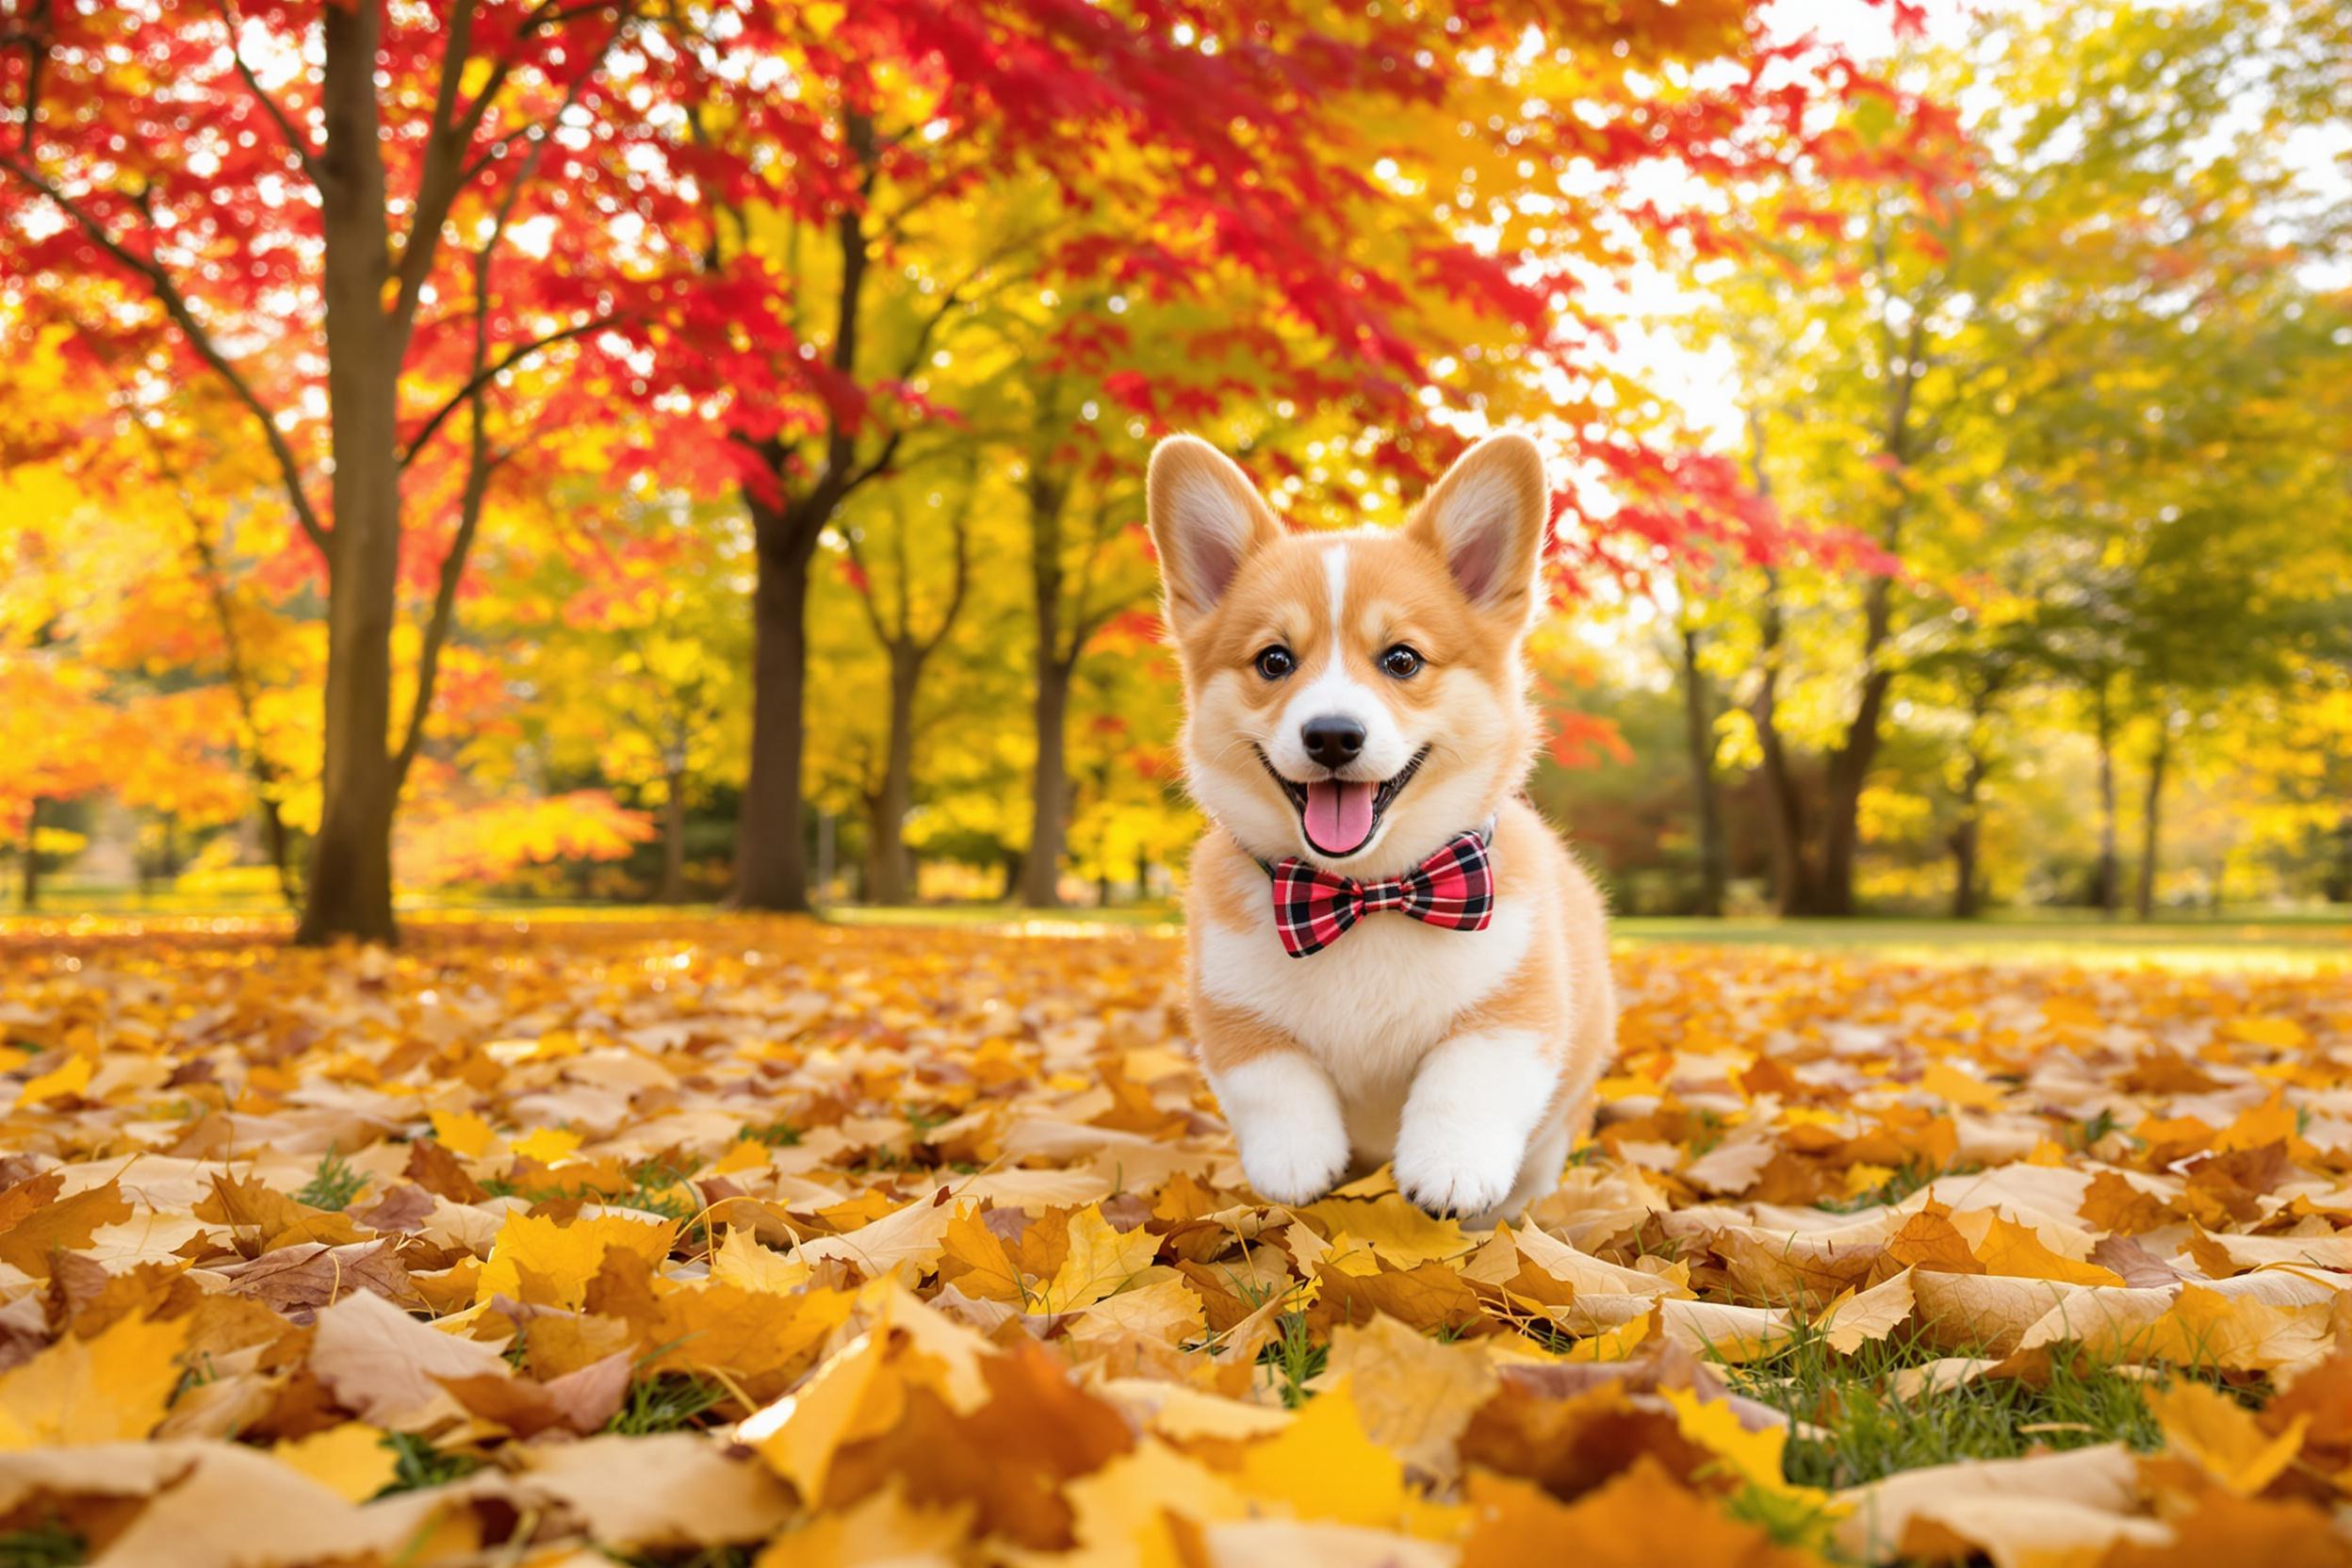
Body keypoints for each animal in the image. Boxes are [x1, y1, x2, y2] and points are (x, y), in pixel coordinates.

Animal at [1152, 430, 1618, 1222]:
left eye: (1401, 659)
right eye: (1273, 661)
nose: (1333, 735)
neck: (1364, 894)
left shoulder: (1514, 1004)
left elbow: (1466, 1080)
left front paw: (1451, 1170)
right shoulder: (1231, 1005)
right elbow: (1272, 1081)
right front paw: (1295, 1165)